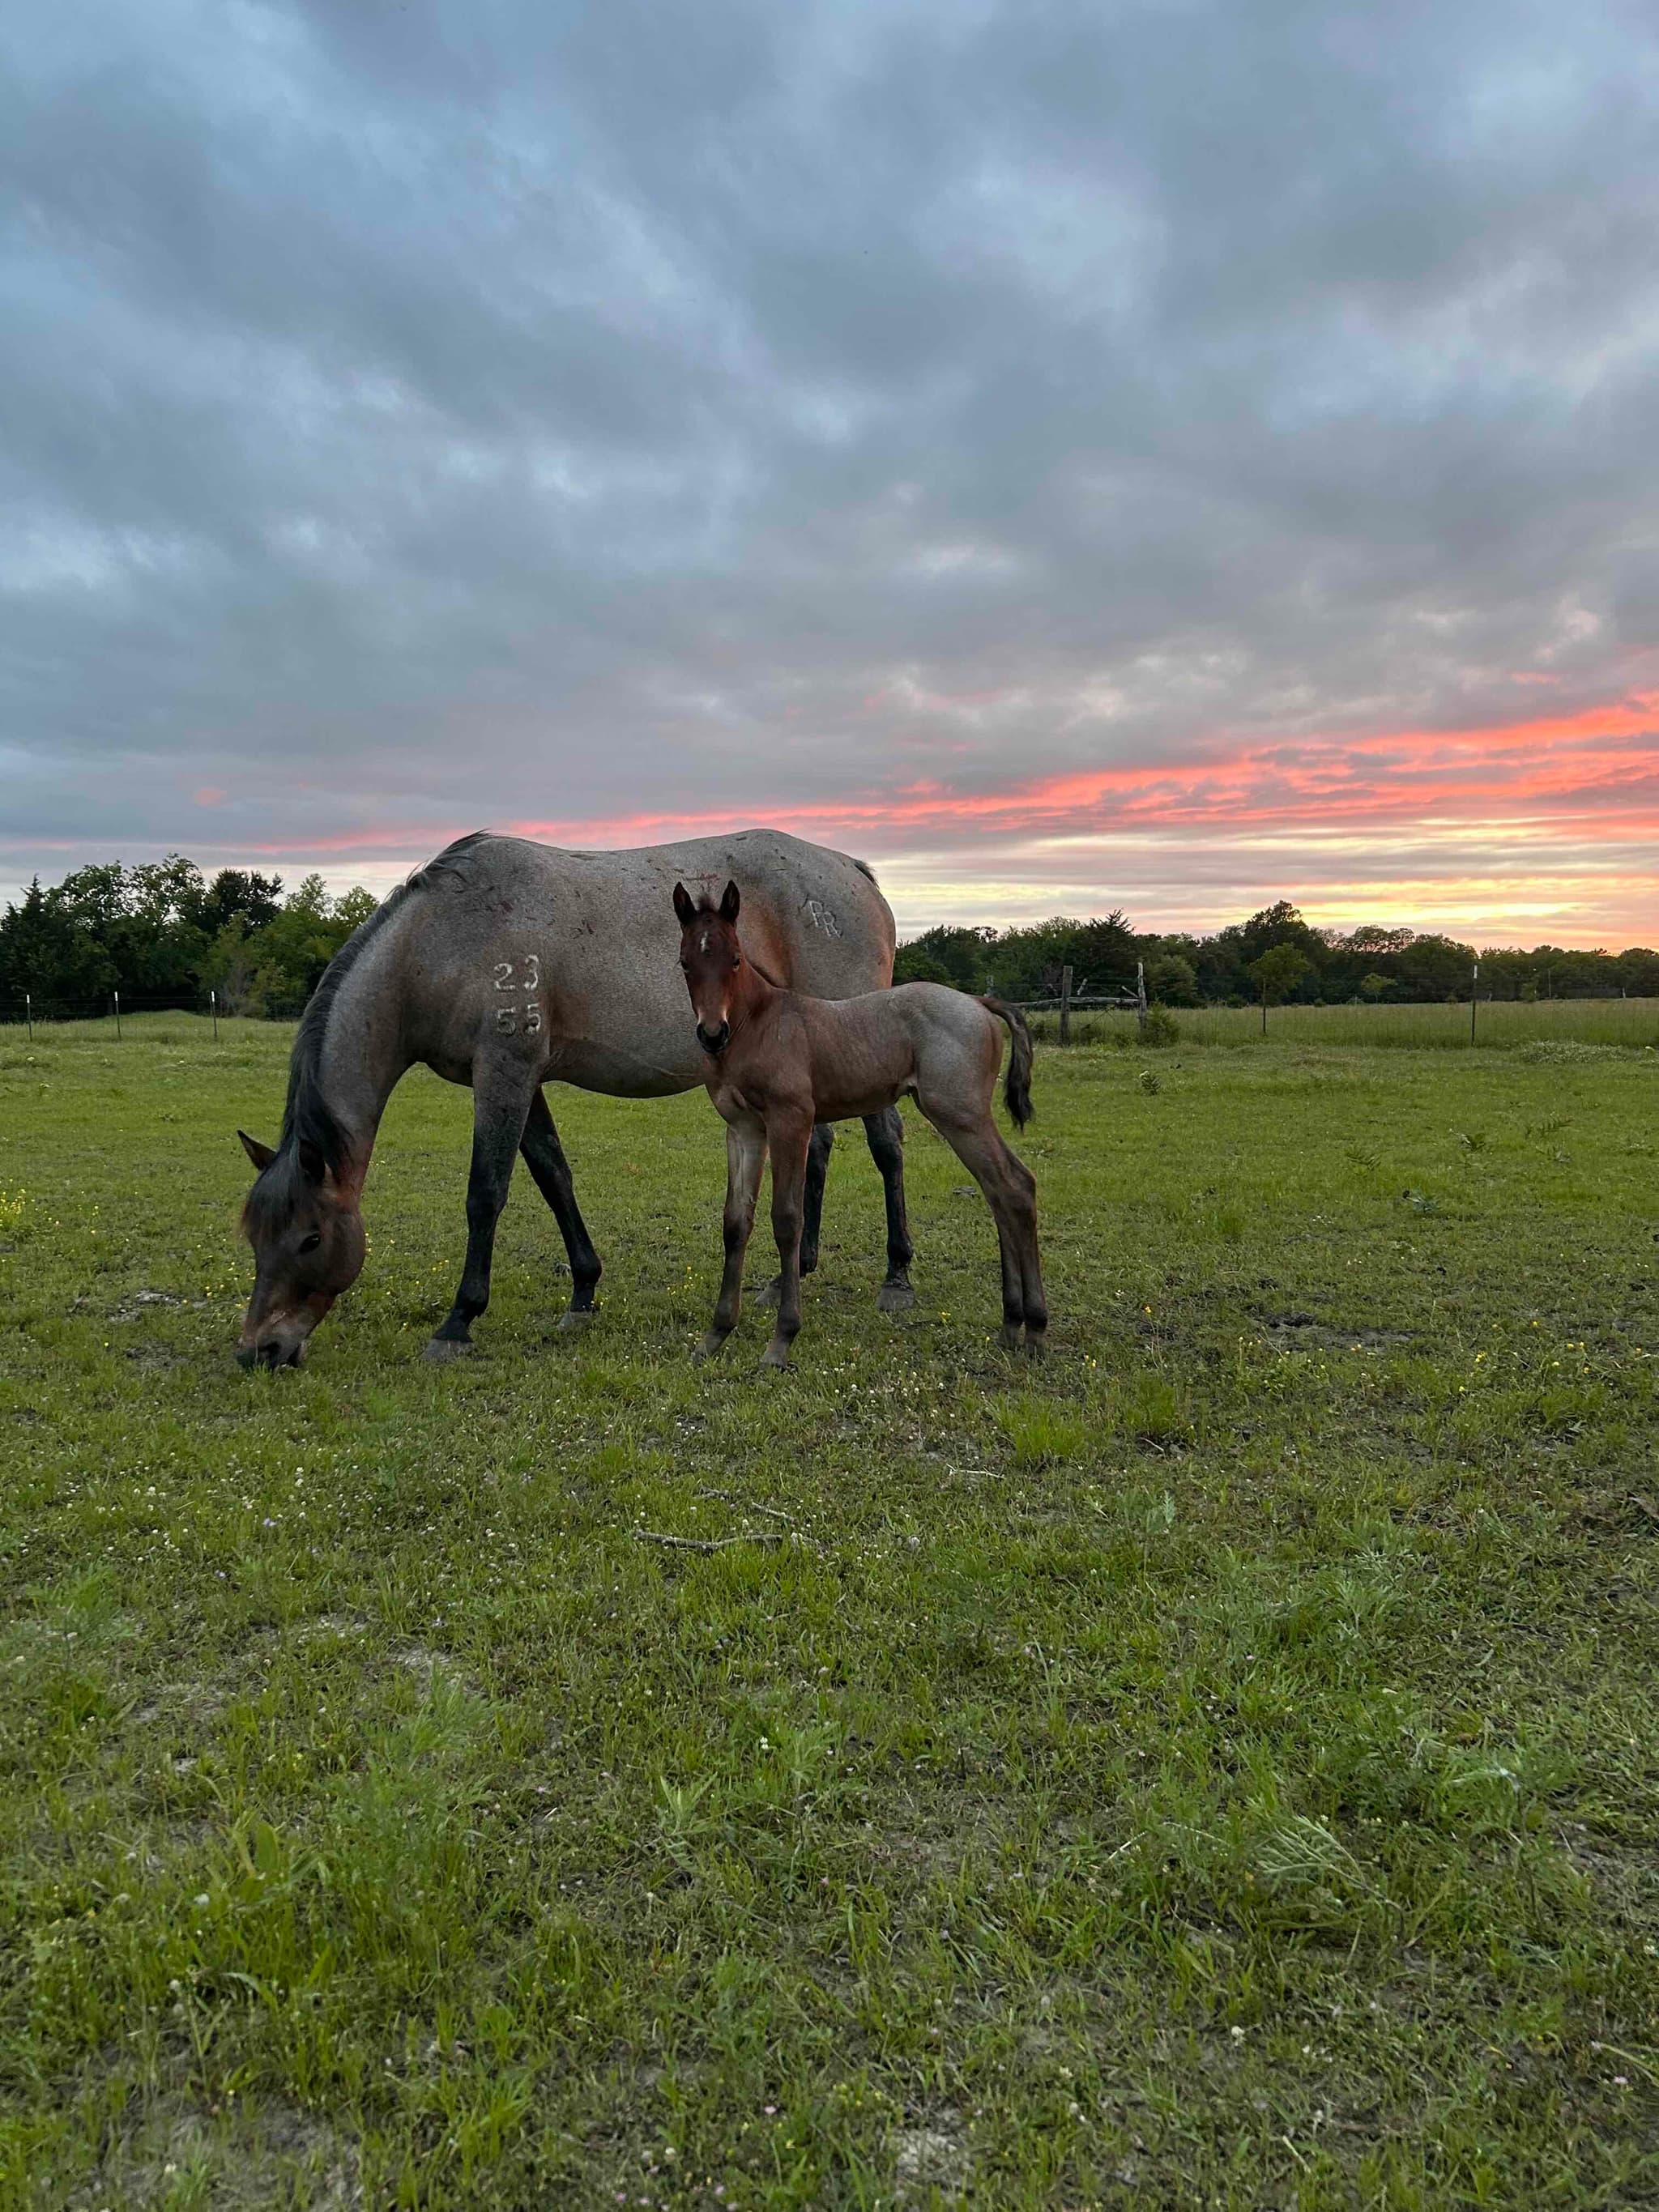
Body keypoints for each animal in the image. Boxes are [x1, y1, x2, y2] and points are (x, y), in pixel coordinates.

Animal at [235, 830, 916, 1368]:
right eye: (255, 1236)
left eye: (311, 1238)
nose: (259, 1350)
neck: (442, 940)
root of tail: (852, 870)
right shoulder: (523, 1080)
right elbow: (554, 1177)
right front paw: (583, 1293)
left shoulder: (503, 1073)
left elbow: (486, 1194)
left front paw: (458, 1321)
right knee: (820, 1150)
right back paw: (789, 1275)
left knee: (887, 1146)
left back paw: (898, 1277)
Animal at [673, 879, 1046, 1369]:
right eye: (685, 961)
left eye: (735, 958)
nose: (712, 1033)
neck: (758, 1024)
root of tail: (978, 1001)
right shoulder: (744, 1131)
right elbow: (736, 1222)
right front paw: (716, 1334)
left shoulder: (791, 1120)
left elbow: (787, 1219)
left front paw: (782, 1340)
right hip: (959, 1117)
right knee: (999, 1190)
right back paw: (1011, 1325)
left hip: (960, 1113)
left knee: (1014, 1186)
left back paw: (1035, 1328)